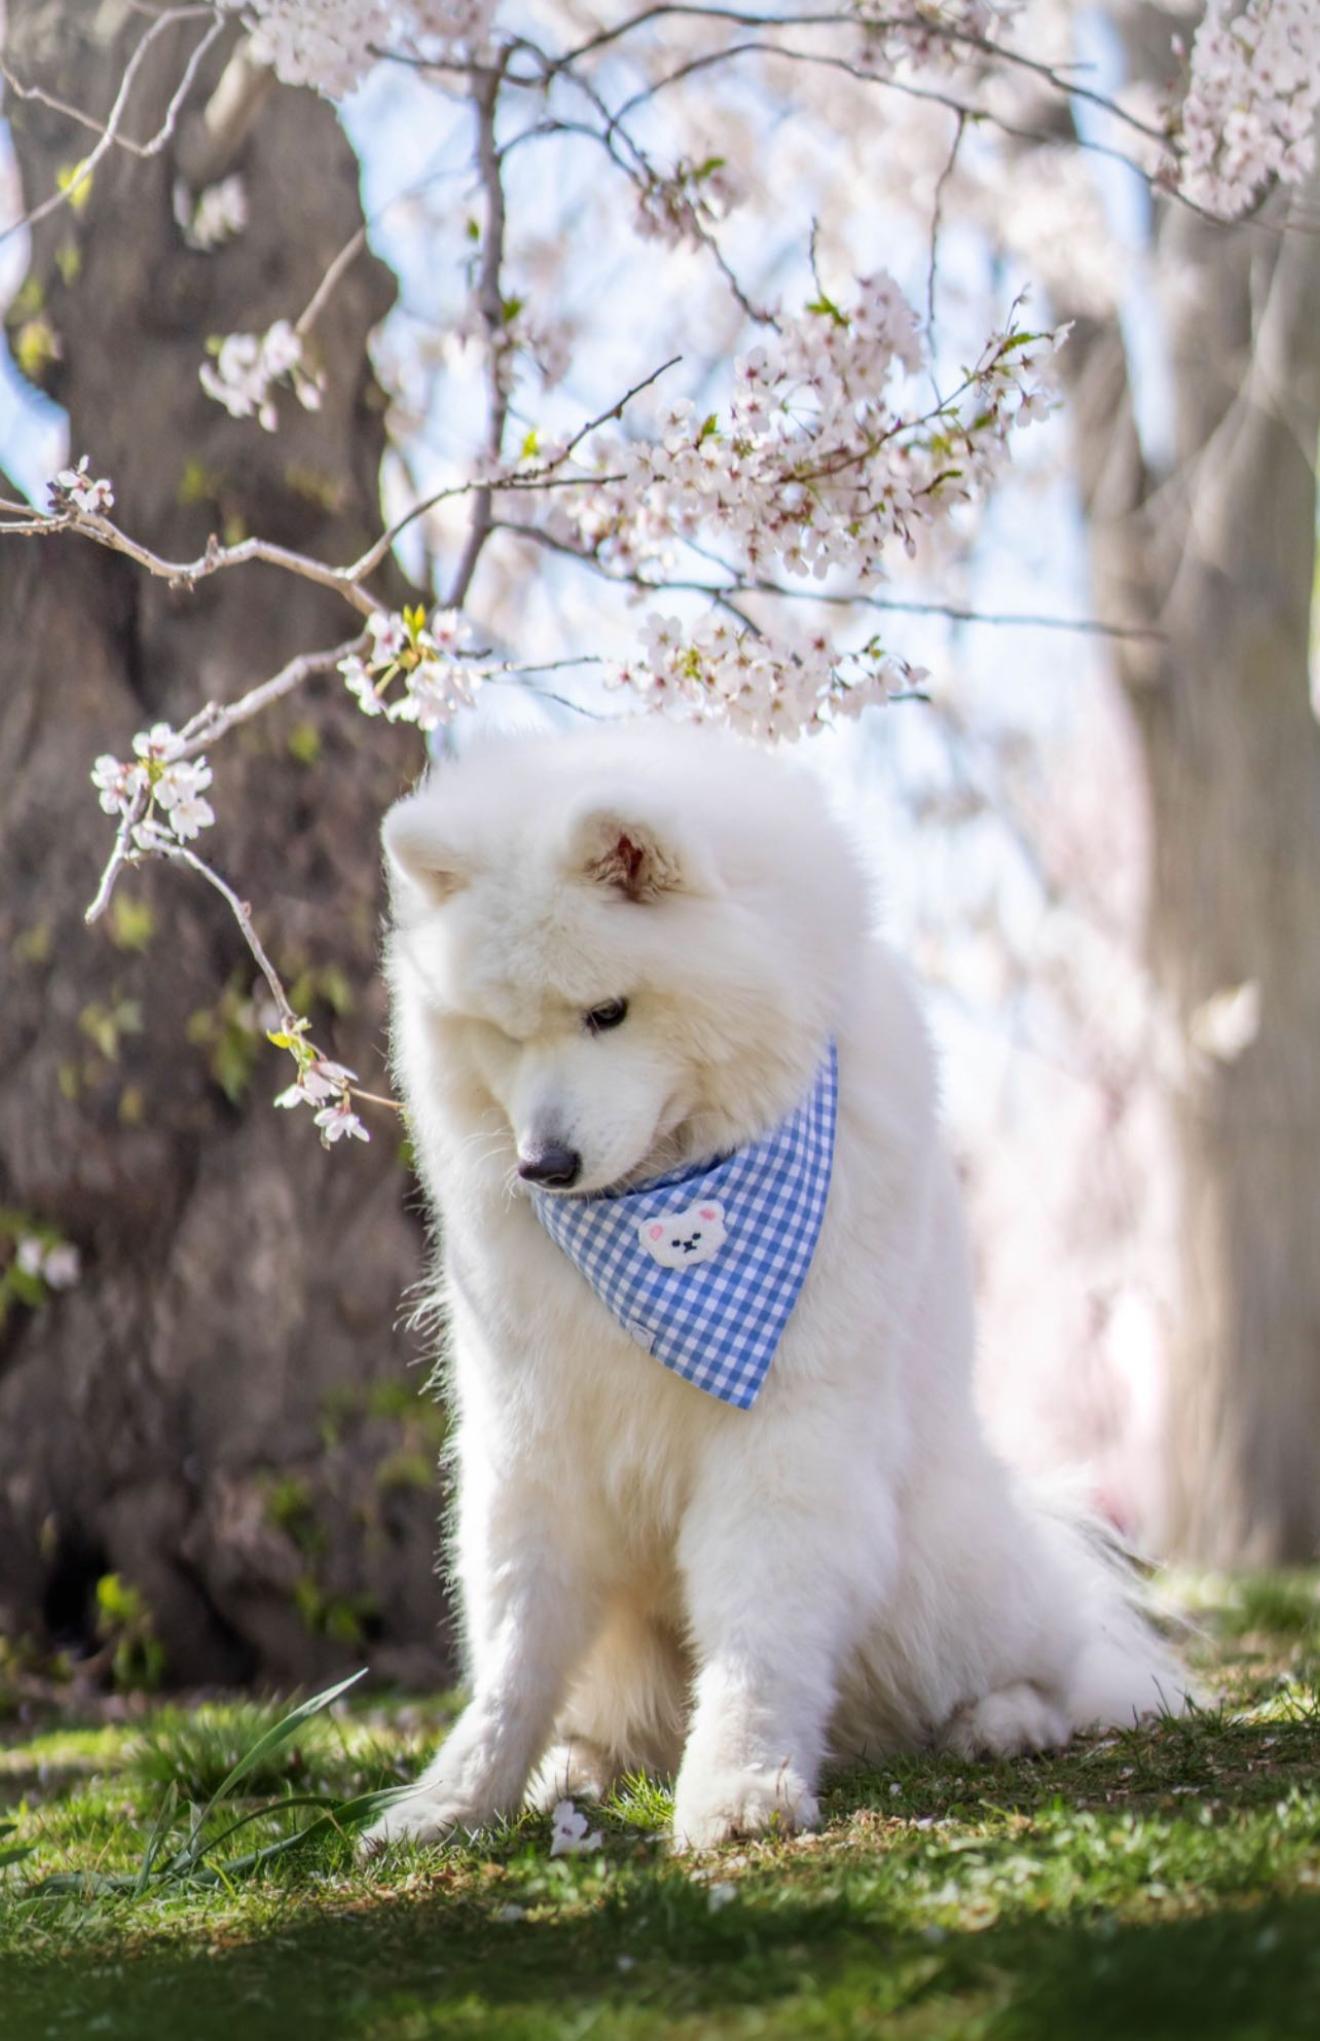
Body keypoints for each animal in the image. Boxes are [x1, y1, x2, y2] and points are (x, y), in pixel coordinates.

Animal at [364, 719, 1182, 1854]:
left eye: (608, 1012)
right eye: (505, 1031)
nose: (544, 1165)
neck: (675, 1203)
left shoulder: (792, 1428)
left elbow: (759, 1624)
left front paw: (740, 1786)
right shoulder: (536, 1434)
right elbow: (516, 1645)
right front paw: (456, 1799)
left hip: (939, 1564)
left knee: (1047, 1665)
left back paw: (1003, 1719)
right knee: (613, 1709)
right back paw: (576, 1764)